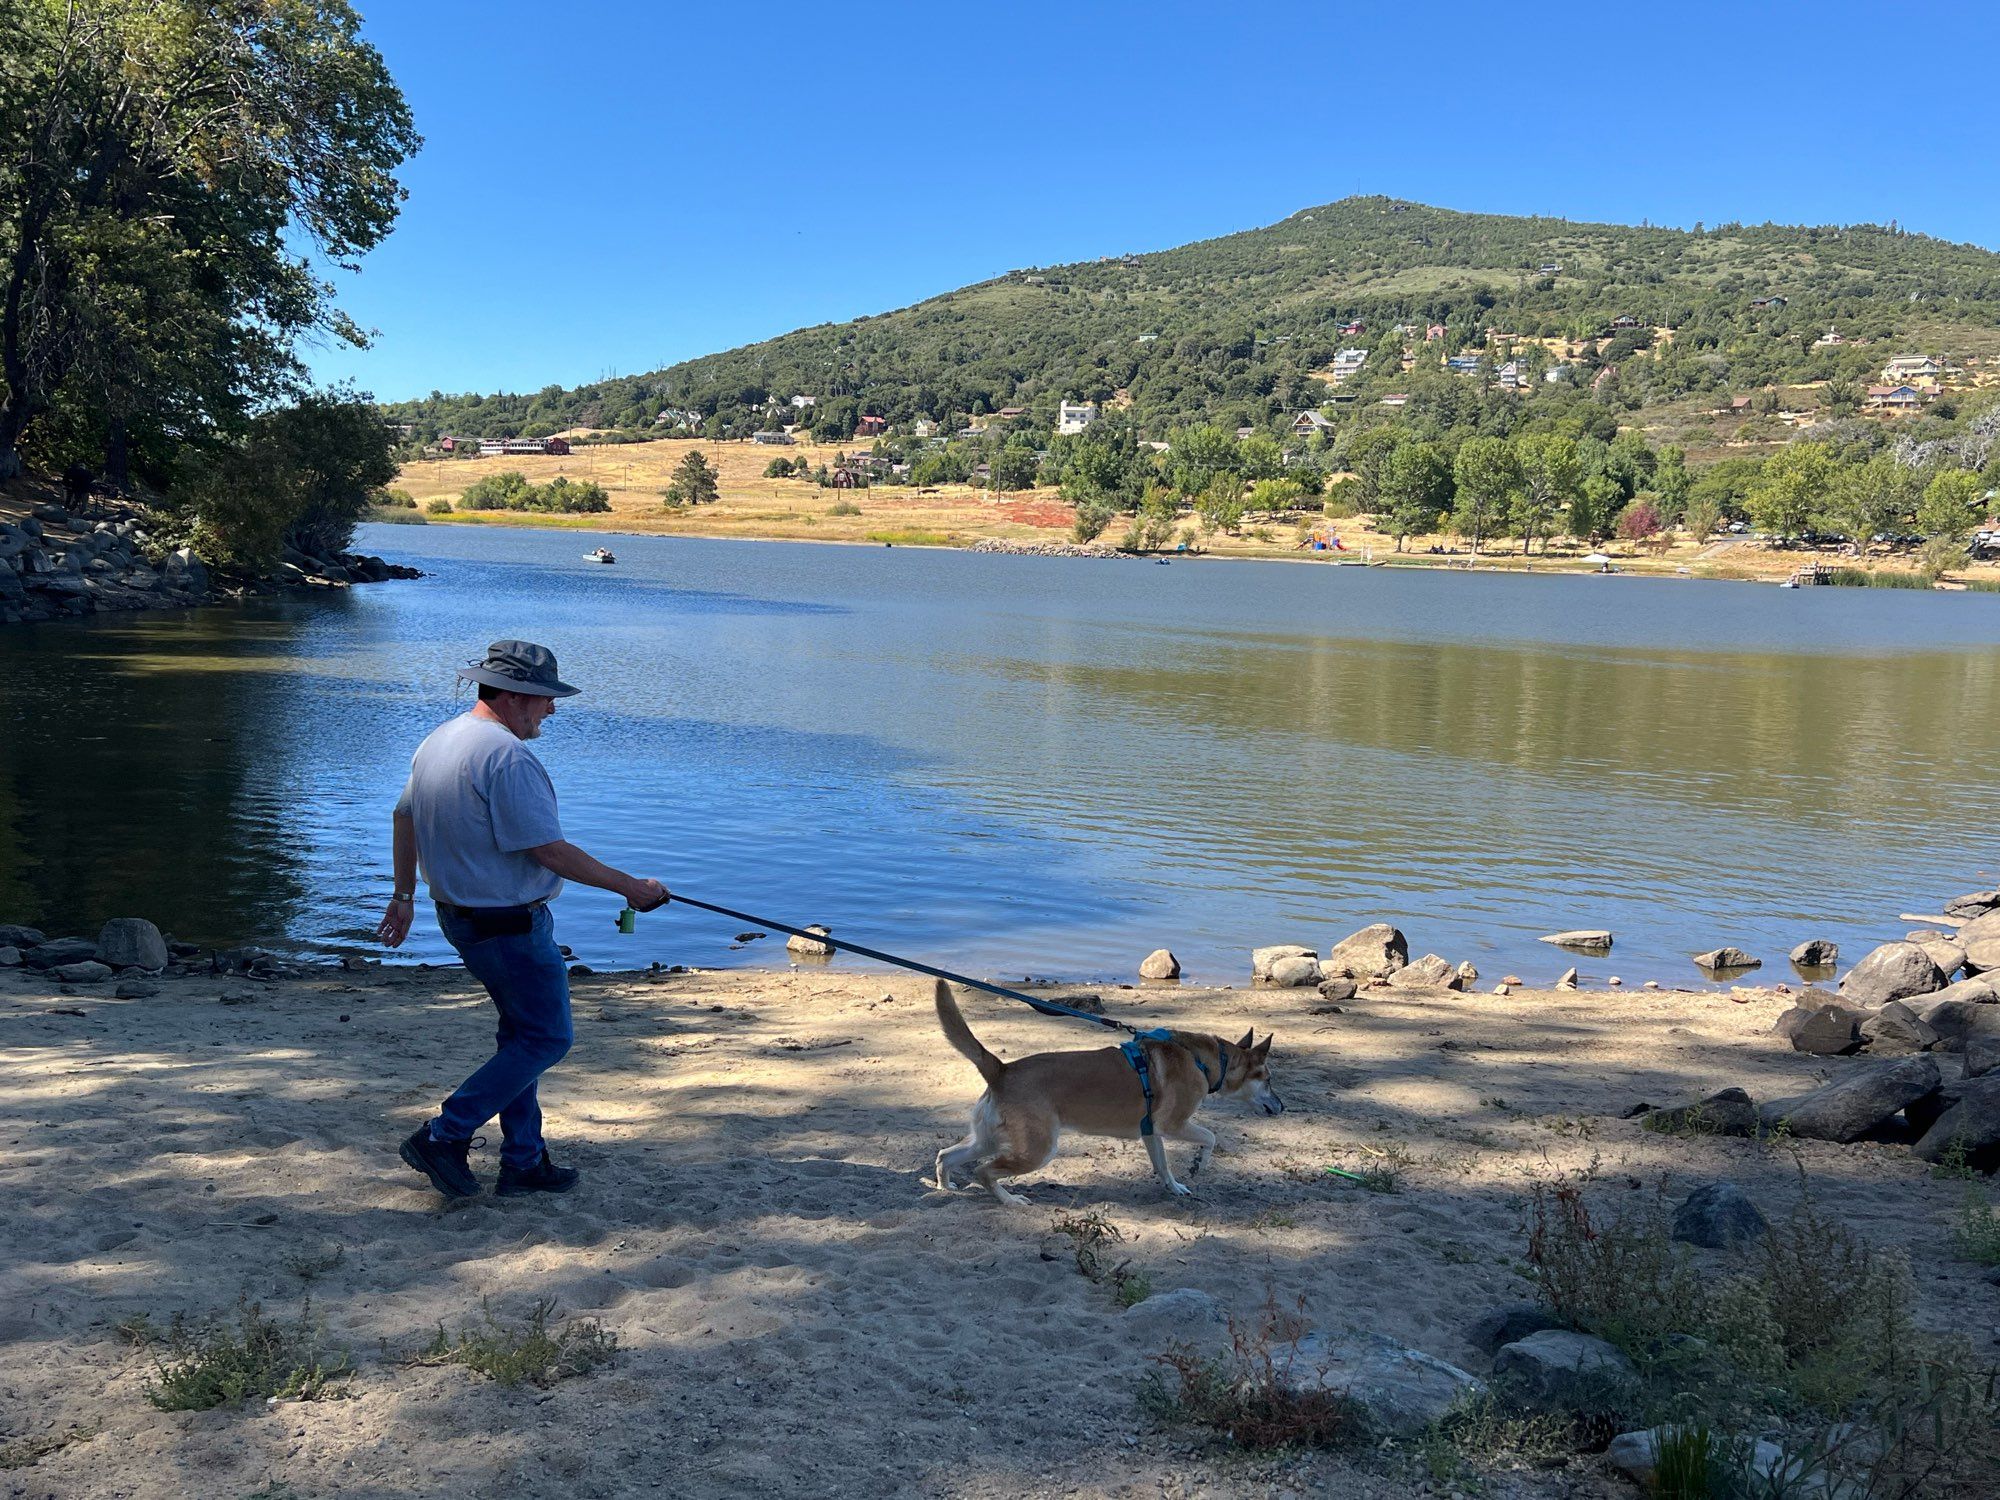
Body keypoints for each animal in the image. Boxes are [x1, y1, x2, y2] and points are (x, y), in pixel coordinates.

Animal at [924, 976, 1280, 1208]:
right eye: (1268, 1079)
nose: (1282, 1106)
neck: (1205, 1060)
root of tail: (1001, 1069)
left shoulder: (1151, 1132)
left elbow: (1163, 1165)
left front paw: (1175, 1187)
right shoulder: (1173, 1126)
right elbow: (1210, 1137)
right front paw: (1197, 1165)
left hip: (989, 1140)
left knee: (946, 1155)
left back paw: (945, 1188)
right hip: (1038, 1150)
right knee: (983, 1171)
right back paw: (1010, 1201)